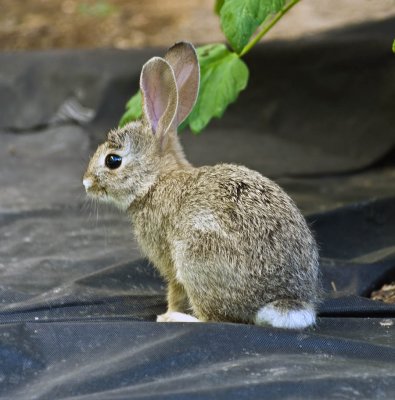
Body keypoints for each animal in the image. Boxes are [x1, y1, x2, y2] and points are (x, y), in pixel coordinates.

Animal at [83, 41, 322, 328]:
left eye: (113, 160)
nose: (85, 182)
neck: (155, 182)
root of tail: (285, 302)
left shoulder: (169, 260)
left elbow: (174, 290)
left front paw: (168, 311)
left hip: (196, 257)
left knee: (214, 318)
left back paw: (175, 318)